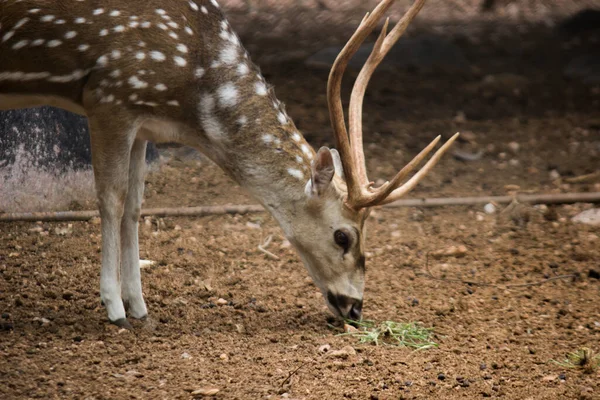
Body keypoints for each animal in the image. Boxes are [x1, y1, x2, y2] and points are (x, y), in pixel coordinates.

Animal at [0, 0, 458, 328]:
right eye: (343, 236)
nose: (356, 308)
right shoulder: (109, 95)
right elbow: (111, 199)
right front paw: (114, 309)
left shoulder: (142, 119)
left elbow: (135, 206)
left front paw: (140, 307)